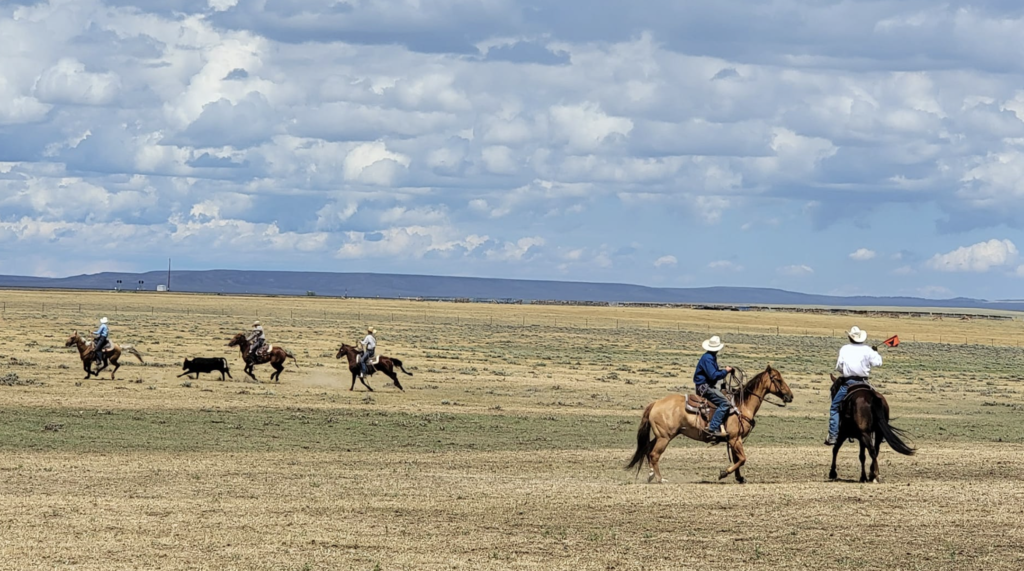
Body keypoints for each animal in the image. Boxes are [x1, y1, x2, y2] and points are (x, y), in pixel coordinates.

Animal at [626, 368, 794, 485]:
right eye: (777, 379)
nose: (790, 396)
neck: (742, 405)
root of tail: (656, 403)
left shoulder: (734, 440)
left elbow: (737, 459)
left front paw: (740, 478)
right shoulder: (734, 439)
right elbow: (742, 458)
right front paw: (723, 473)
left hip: (661, 436)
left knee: (648, 451)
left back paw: (651, 475)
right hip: (664, 437)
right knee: (654, 455)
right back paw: (660, 479)